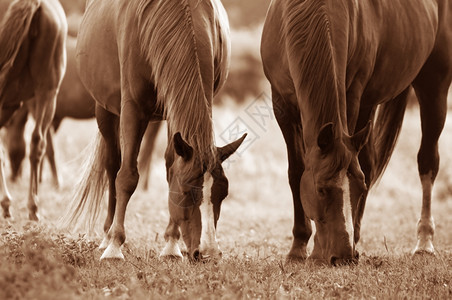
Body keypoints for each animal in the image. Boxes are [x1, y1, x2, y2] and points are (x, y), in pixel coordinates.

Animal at [63, 0, 245, 260]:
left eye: (223, 194)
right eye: (187, 192)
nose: (208, 253)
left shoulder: (175, 111)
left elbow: (171, 168)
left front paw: (171, 244)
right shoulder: (133, 109)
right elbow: (126, 176)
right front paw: (114, 246)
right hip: (105, 110)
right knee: (112, 165)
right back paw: (107, 236)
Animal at [262, 0, 452, 264]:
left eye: (359, 189)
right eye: (321, 189)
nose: (343, 256)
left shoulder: (352, 95)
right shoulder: (281, 104)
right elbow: (296, 172)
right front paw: (298, 247)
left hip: (433, 88)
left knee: (427, 162)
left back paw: (424, 242)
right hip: (370, 104)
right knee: (370, 162)